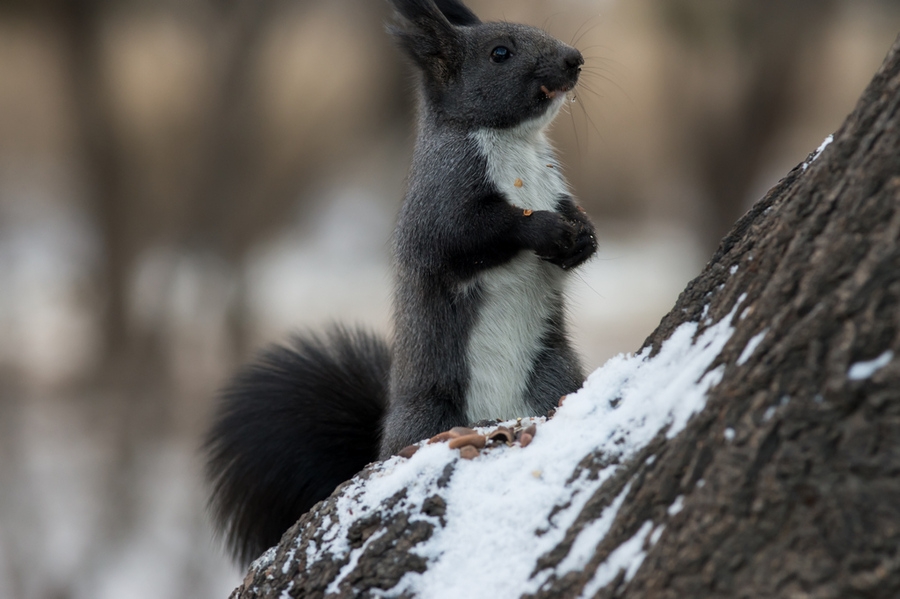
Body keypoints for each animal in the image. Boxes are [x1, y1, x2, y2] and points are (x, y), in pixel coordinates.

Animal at [206, 0, 596, 568]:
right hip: (431, 417)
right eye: (500, 53)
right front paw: (543, 230)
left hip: (555, 377)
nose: (574, 59)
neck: (516, 146)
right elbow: (469, 238)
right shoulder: (439, 206)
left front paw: (584, 237)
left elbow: (572, 215)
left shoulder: (555, 186)